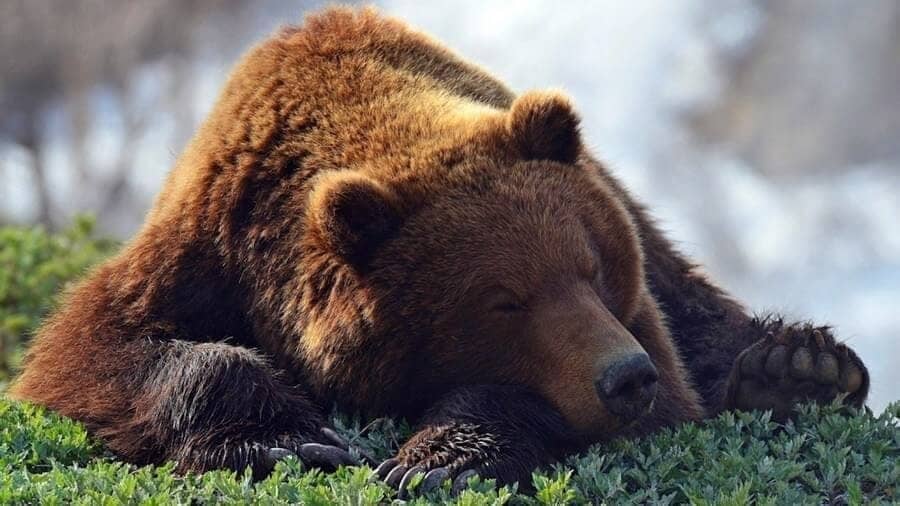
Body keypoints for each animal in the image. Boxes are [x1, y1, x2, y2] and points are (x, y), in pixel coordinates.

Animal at [9, 7, 868, 494]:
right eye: (503, 299)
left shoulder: (637, 315)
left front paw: (437, 456)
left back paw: (798, 366)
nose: (625, 377)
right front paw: (294, 441)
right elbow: (94, 351)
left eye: (592, 270)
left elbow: (661, 391)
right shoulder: (205, 239)